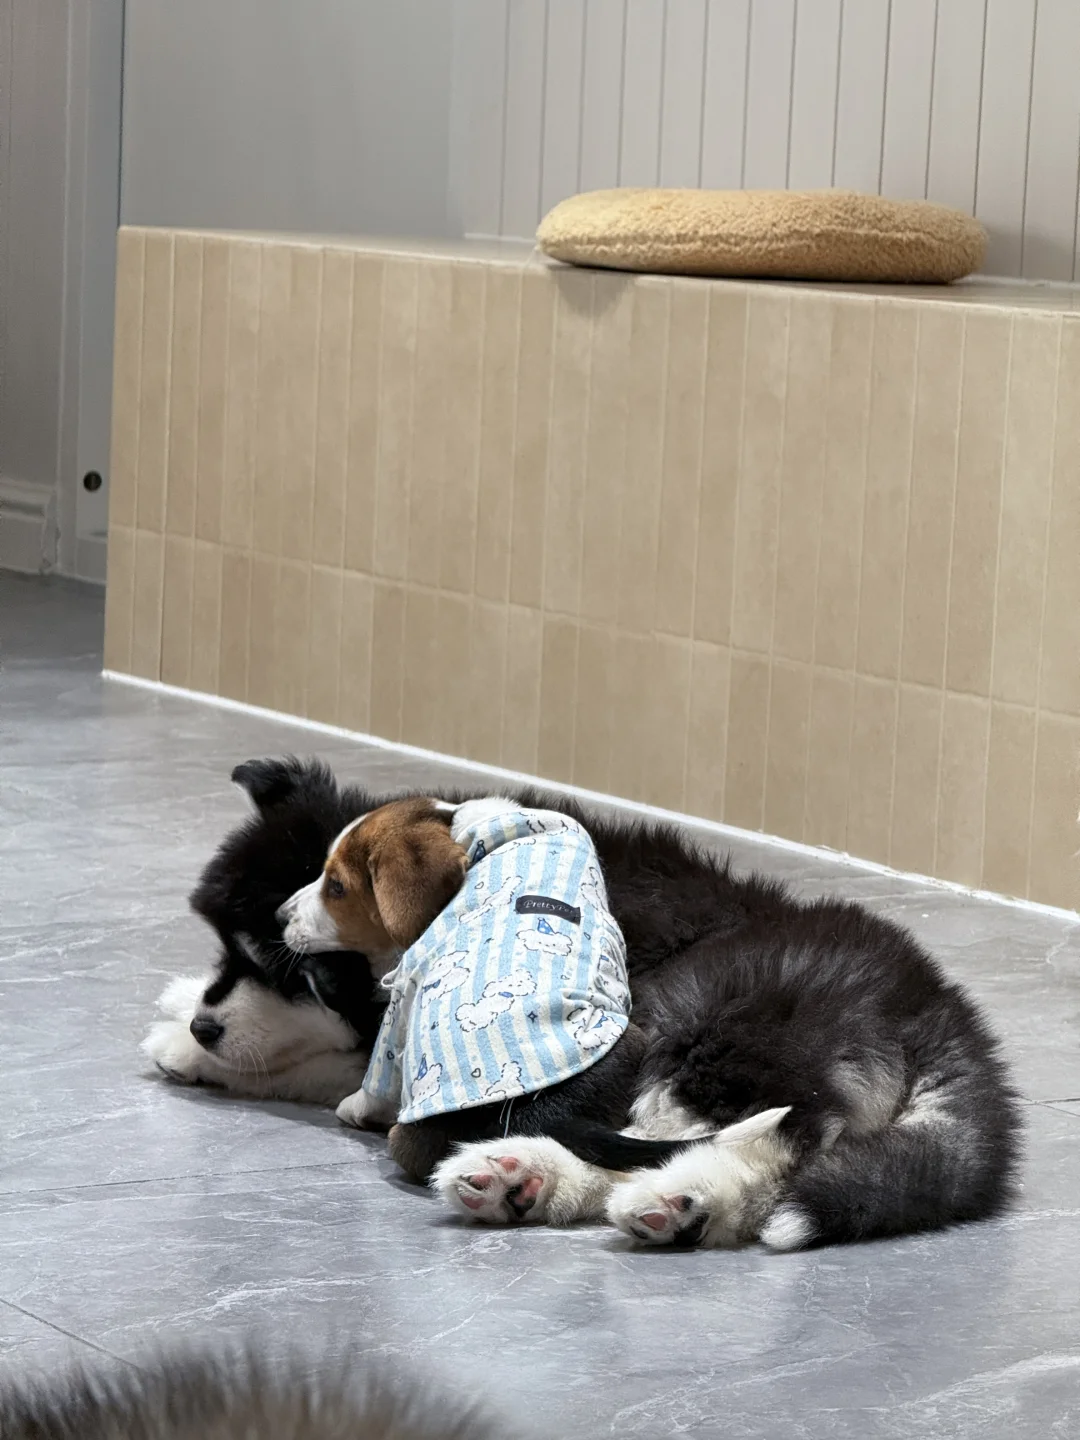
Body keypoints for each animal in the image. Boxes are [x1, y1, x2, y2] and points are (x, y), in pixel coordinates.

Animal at [149, 756, 1021, 1251]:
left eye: (289, 972)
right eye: (226, 948)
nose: (205, 1024)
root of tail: (935, 1004)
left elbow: (347, 1068)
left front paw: (185, 1044)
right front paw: (182, 1009)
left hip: (697, 1026)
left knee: (742, 1140)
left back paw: (645, 1192)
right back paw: (536, 1183)